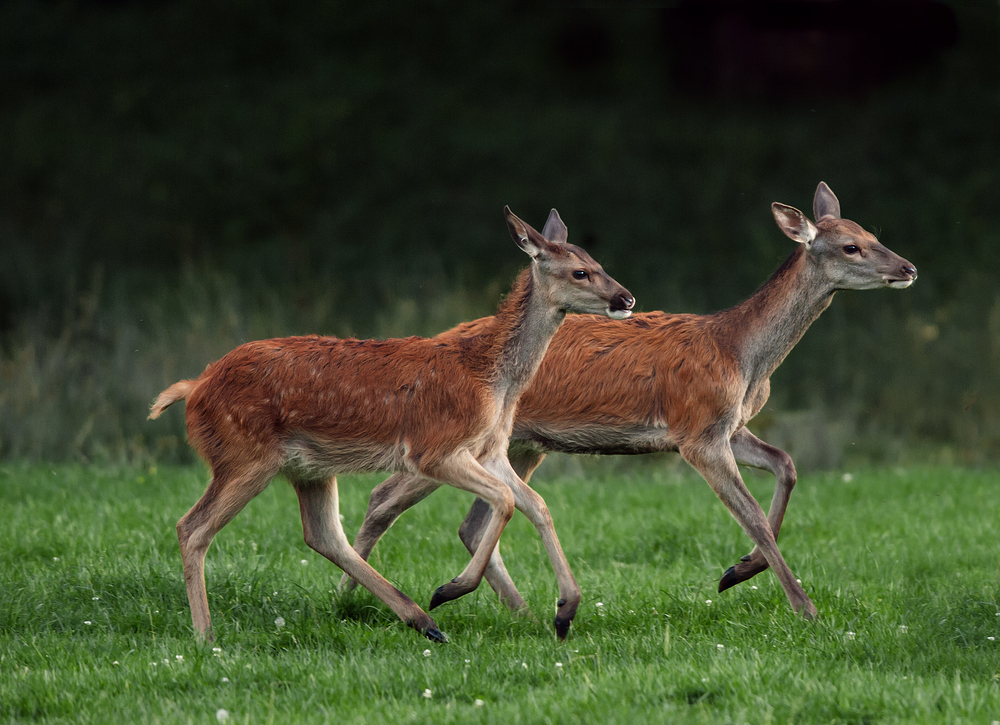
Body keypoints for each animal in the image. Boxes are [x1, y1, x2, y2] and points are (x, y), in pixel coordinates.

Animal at [148, 206, 632, 640]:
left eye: (598, 264)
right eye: (580, 272)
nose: (626, 298)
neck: (492, 379)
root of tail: (194, 388)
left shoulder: (491, 448)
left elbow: (537, 504)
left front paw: (565, 610)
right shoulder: (433, 448)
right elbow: (507, 500)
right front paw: (452, 588)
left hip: (308, 467)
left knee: (323, 535)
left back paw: (422, 621)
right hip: (243, 454)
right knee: (192, 528)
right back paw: (205, 636)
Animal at [340, 178, 916, 624]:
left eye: (874, 235)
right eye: (851, 247)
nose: (908, 268)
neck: (741, 352)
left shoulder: (727, 425)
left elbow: (787, 465)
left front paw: (737, 571)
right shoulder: (696, 429)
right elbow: (751, 513)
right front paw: (804, 607)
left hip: (521, 444)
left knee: (471, 519)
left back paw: (517, 609)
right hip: (458, 438)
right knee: (384, 497)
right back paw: (353, 601)